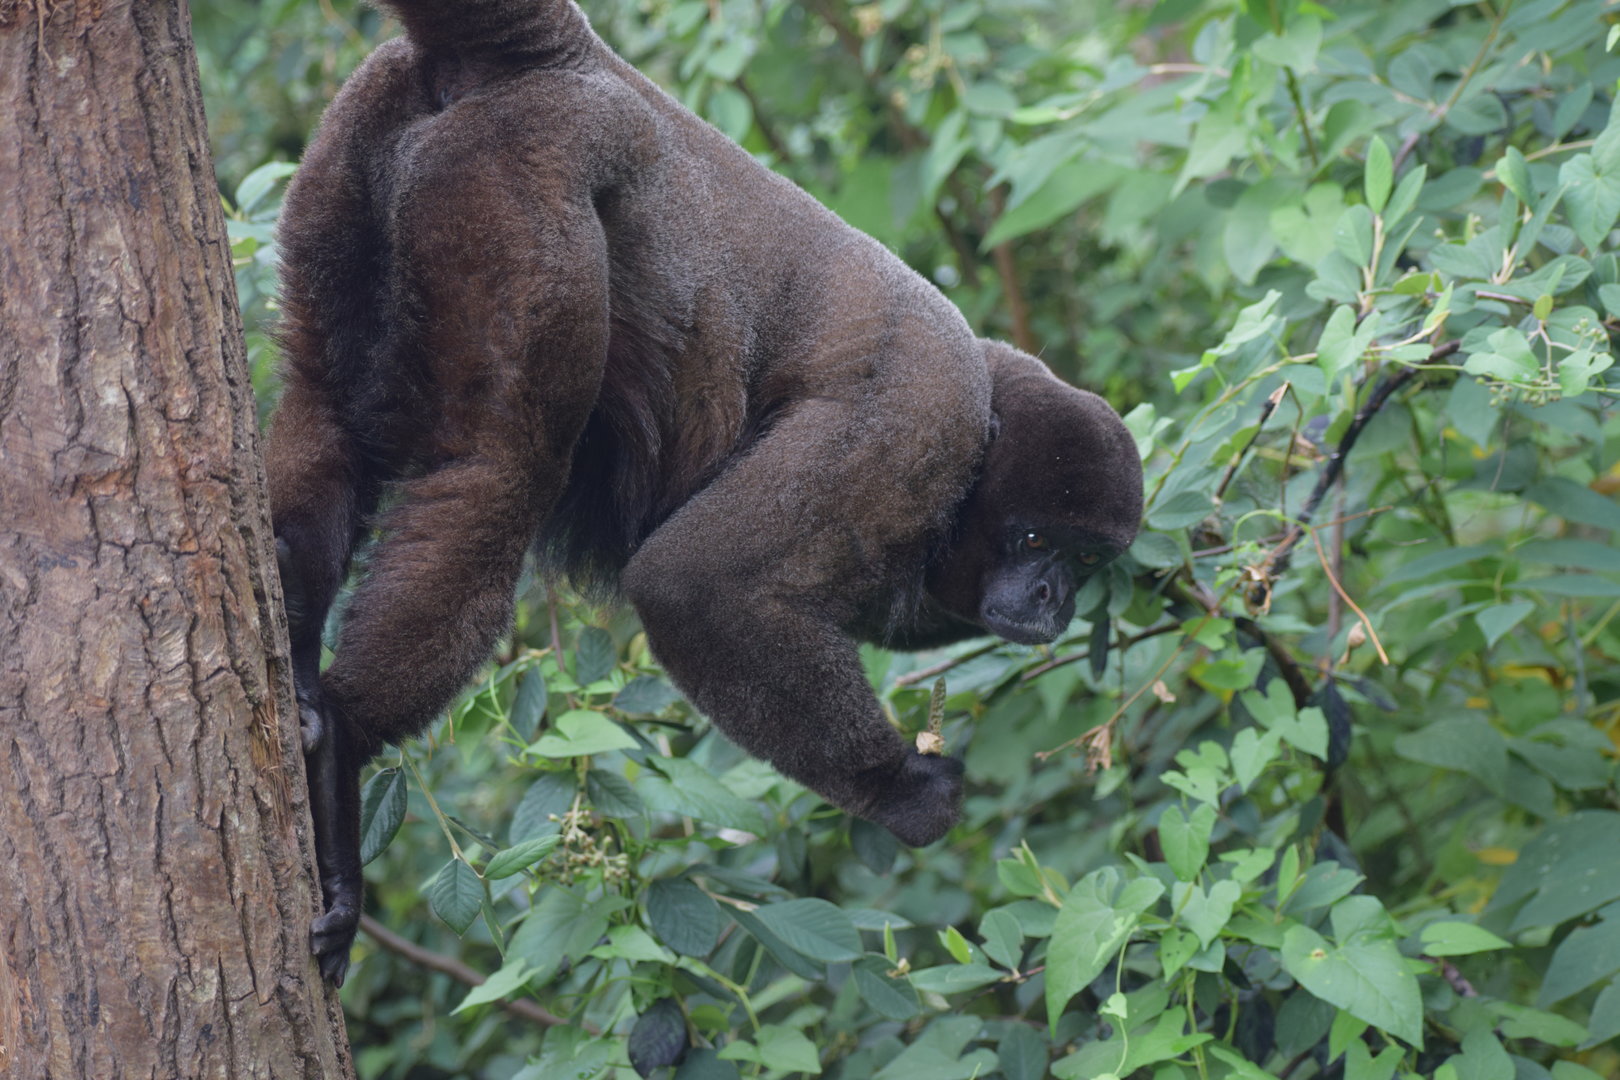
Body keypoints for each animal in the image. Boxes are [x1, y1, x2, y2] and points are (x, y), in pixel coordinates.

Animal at [265, 0, 1144, 985]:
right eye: (1036, 541)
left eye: (1087, 559)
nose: (1055, 596)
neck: (986, 421)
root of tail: (572, 56)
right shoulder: (912, 428)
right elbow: (695, 587)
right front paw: (900, 789)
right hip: (523, 166)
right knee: (502, 467)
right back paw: (346, 740)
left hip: (364, 127)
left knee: (323, 405)